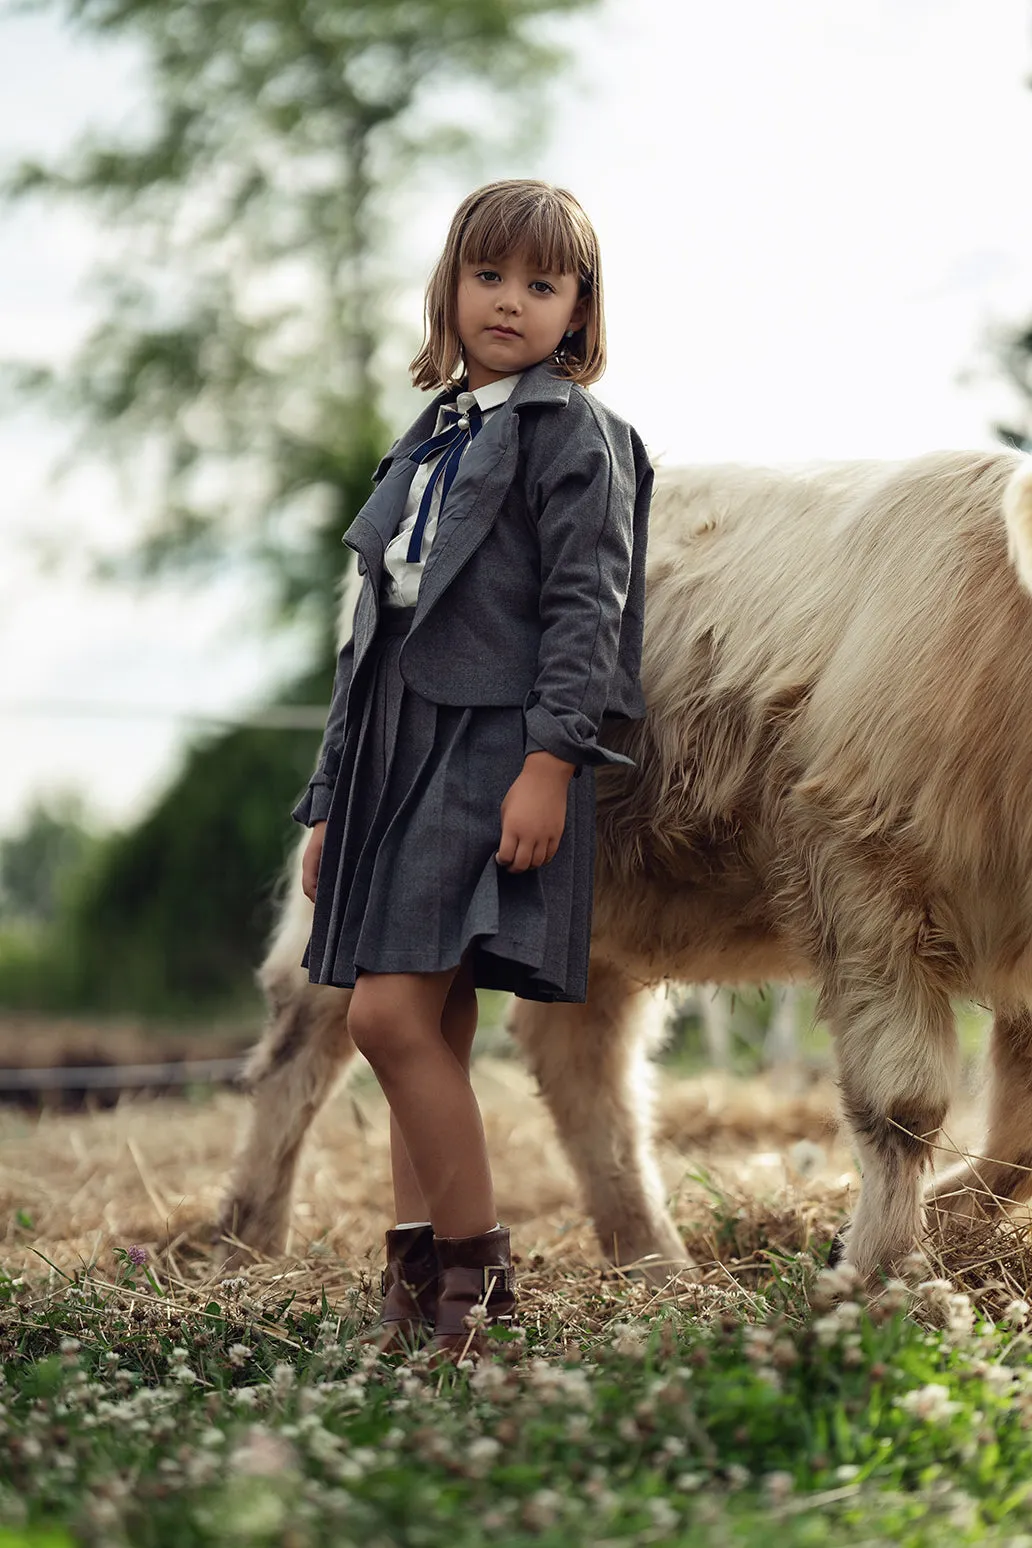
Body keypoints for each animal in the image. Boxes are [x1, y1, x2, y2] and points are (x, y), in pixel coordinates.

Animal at [219, 448, 1032, 1281]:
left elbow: (1021, 1124)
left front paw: (934, 1224)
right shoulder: (860, 871)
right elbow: (904, 1102)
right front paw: (877, 1271)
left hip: (611, 907)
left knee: (582, 1062)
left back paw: (651, 1257)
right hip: (349, 886)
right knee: (303, 1037)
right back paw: (251, 1246)